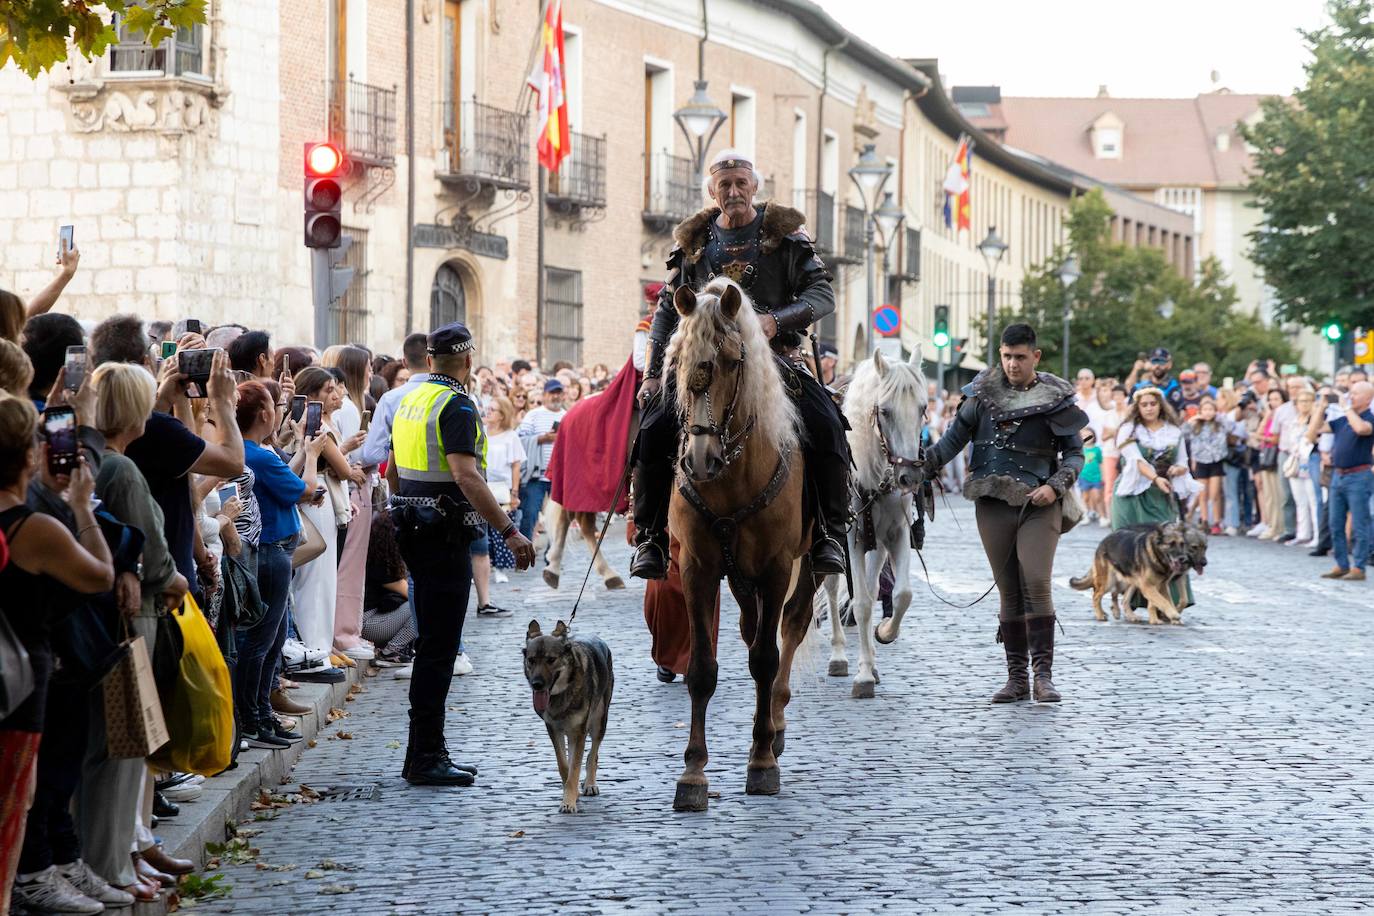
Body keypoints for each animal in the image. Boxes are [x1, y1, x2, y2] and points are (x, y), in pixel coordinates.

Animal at [522, 620, 615, 813]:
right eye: (531, 660)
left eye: (551, 660)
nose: (536, 684)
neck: (561, 694)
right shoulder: (554, 730)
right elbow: (565, 766)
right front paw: (570, 794)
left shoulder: (579, 732)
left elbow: (576, 767)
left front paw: (568, 802)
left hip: (599, 722)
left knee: (592, 755)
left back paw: (590, 784)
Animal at [665, 277, 813, 807]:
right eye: (677, 358)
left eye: (732, 360)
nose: (699, 459)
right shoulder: (698, 569)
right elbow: (701, 670)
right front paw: (693, 773)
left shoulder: (776, 568)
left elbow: (766, 660)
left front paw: (762, 760)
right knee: (753, 632)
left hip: (809, 565)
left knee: (788, 630)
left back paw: (776, 724)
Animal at [818, 347, 928, 697]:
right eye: (886, 412)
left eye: (922, 408)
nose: (909, 477)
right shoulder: (851, 540)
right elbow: (862, 603)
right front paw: (863, 675)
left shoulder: (896, 535)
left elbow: (901, 594)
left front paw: (885, 633)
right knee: (832, 586)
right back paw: (839, 656)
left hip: (876, 544)